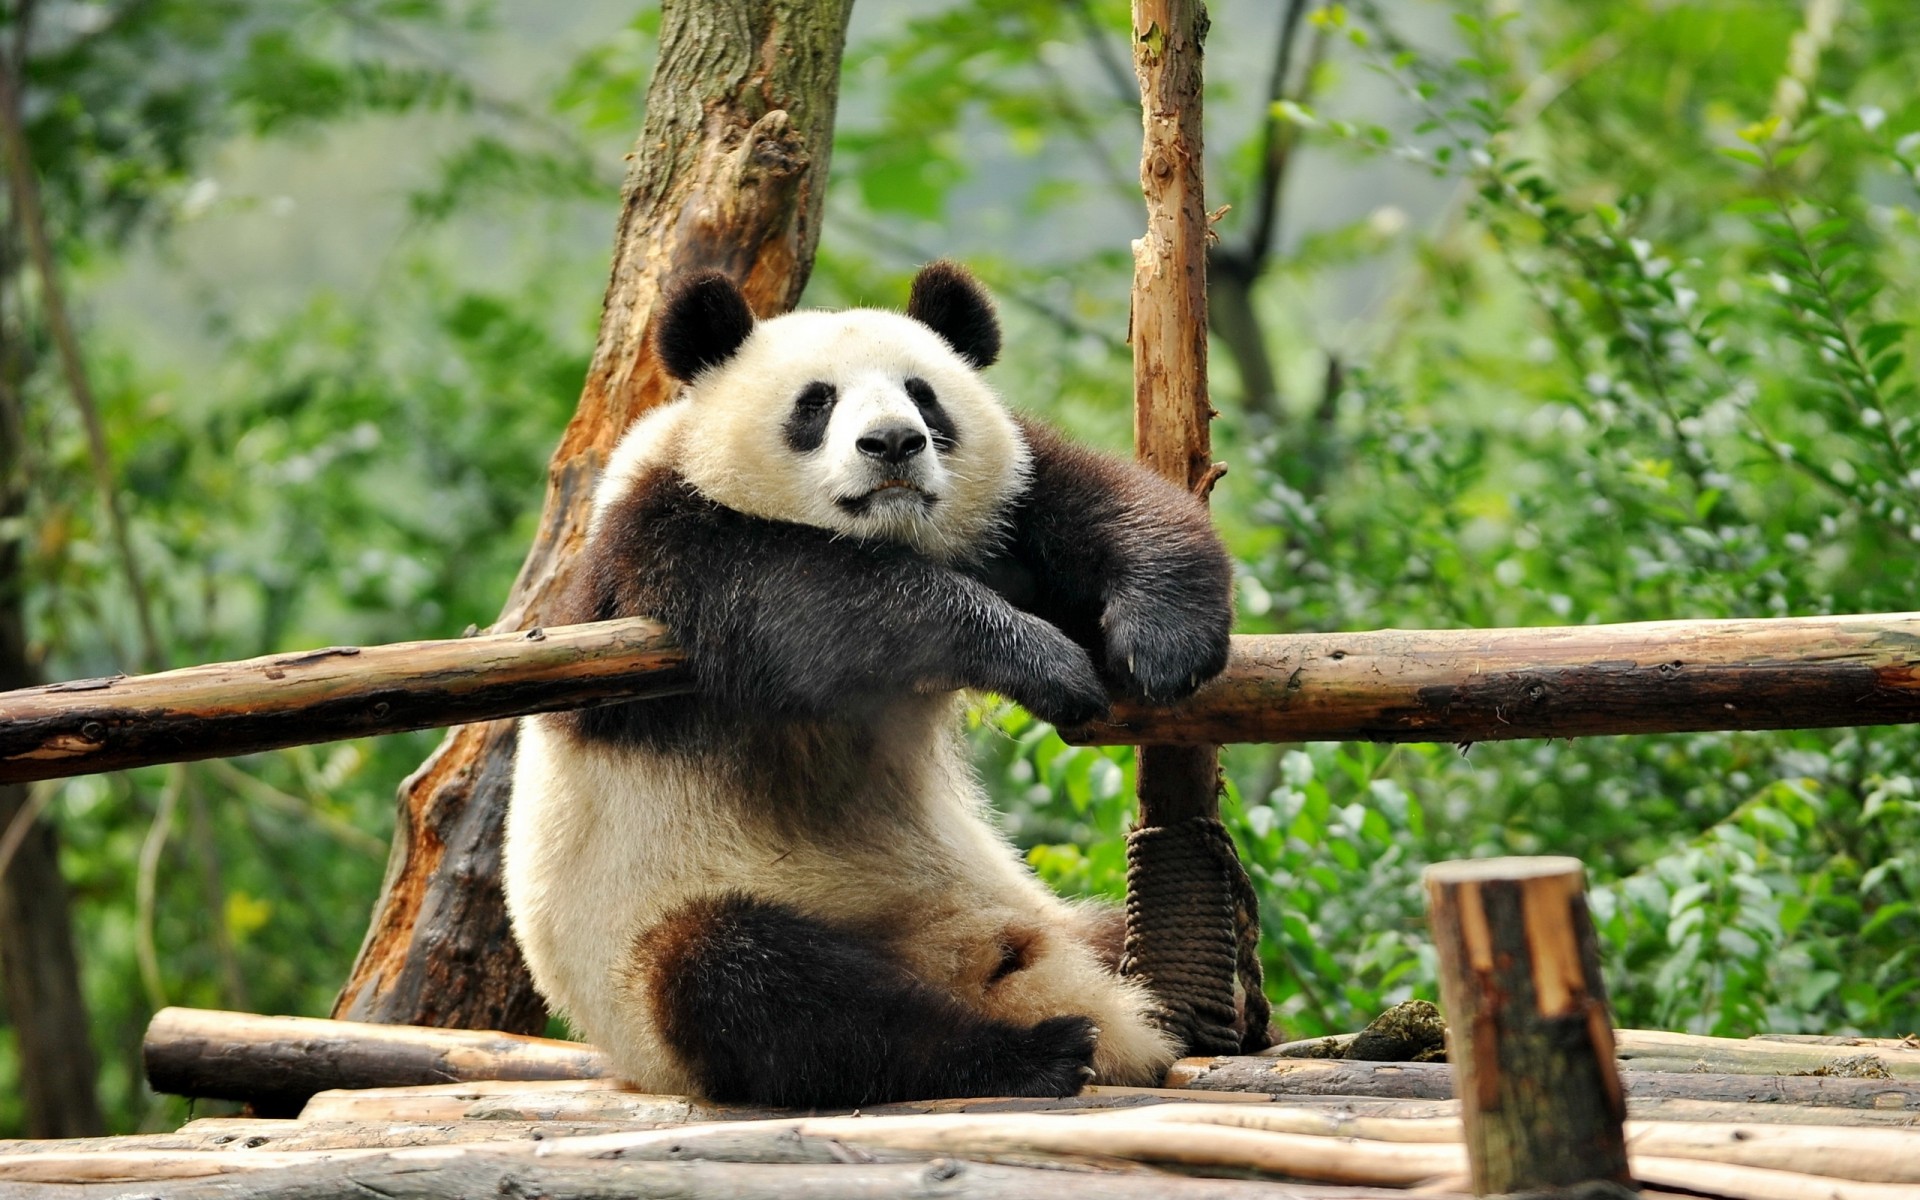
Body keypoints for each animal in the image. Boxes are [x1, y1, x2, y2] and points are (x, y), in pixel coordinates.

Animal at [505, 261, 1234, 1108]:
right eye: (815, 402)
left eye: (923, 394)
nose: (892, 443)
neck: (887, 532)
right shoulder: (663, 544)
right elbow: (818, 603)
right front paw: (1041, 661)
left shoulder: (1000, 503)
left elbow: (1095, 499)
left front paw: (1165, 642)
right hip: (658, 955)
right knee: (765, 991)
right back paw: (1030, 1052)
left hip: (1039, 915)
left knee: (1101, 932)